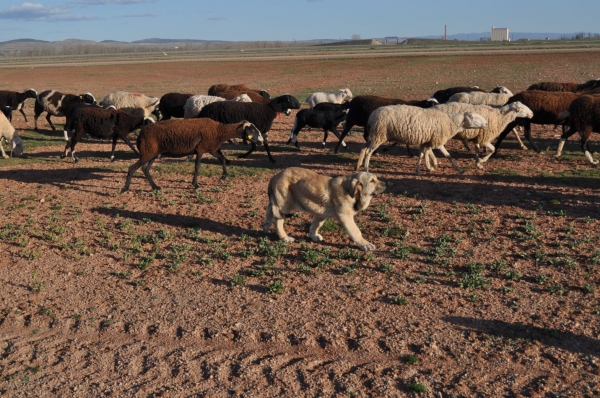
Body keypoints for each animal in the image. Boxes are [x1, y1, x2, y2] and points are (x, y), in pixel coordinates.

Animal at [356, 105, 488, 175]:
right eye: (473, 117)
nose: (486, 123)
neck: (450, 123)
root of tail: (371, 116)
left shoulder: (425, 141)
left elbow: (422, 155)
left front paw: (420, 170)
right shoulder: (437, 140)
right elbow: (447, 155)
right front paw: (459, 169)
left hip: (374, 135)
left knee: (363, 148)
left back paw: (358, 166)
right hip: (379, 135)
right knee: (368, 152)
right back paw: (366, 169)